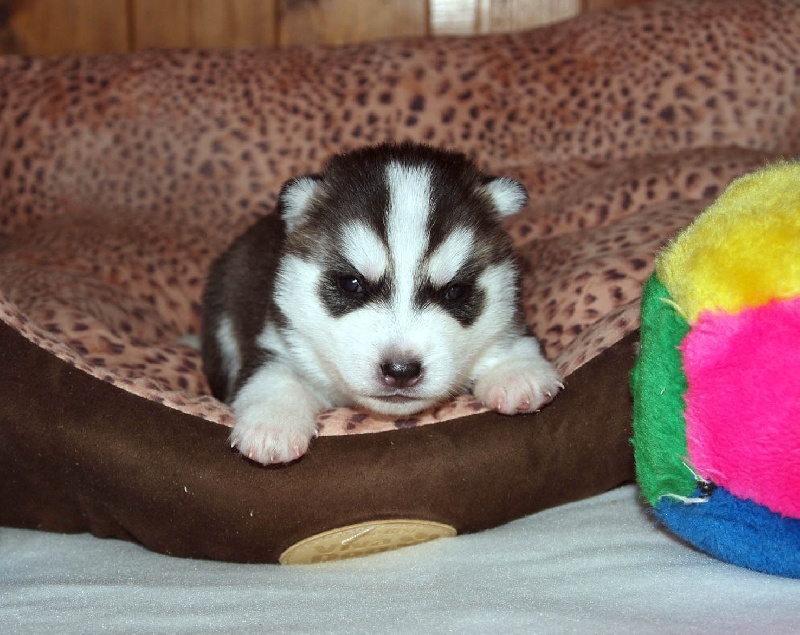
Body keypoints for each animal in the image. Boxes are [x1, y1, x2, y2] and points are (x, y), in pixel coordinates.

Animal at [200, 142, 564, 464]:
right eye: (352, 284)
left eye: (456, 291)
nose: (401, 371)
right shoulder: (279, 339)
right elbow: (274, 376)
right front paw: (273, 424)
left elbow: (509, 338)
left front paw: (517, 371)